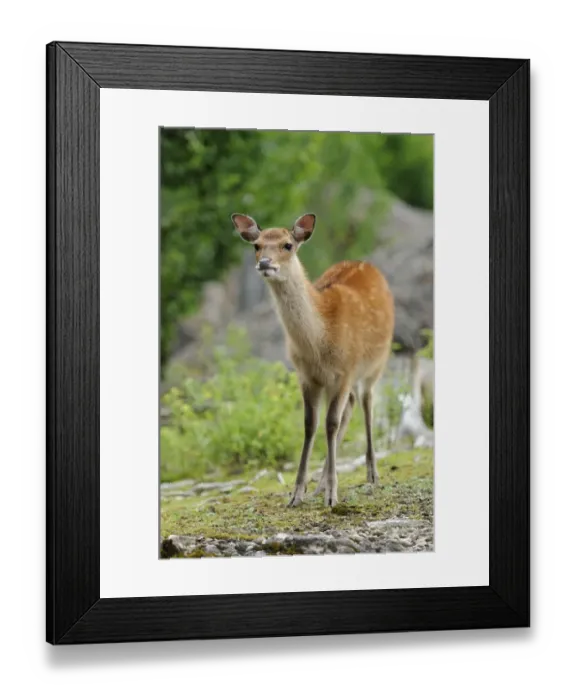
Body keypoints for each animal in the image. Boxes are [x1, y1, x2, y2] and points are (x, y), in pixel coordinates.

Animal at [231, 213, 395, 507]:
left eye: (287, 245)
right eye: (257, 245)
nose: (265, 263)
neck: (319, 341)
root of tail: (367, 265)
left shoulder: (345, 370)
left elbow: (330, 423)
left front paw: (332, 495)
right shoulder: (306, 375)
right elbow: (310, 425)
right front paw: (298, 493)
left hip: (376, 363)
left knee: (367, 404)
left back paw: (372, 474)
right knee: (351, 406)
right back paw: (321, 483)